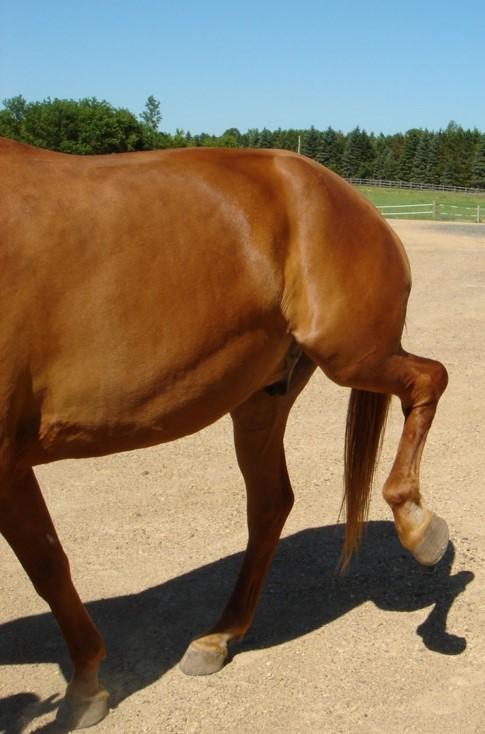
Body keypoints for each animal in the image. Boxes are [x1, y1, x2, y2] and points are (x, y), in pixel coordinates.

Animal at [0, 139, 448, 732]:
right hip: (263, 398)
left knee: (430, 379)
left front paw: (86, 687)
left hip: (353, 354)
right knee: (271, 504)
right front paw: (86, 684)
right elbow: (46, 564)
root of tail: (349, 197)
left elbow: (46, 564)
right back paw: (218, 637)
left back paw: (420, 529)